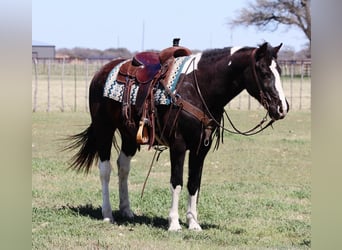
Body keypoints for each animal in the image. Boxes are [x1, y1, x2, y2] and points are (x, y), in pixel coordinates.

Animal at [65, 41, 288, 230]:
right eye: (264, 72)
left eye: (279, 71)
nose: (282, 108)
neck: (198, 88)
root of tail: (101, 72)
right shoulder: (178, 145)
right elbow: (177, 181)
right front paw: (174, 223)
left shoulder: (201, 148)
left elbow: (194, 183)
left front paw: (194, 223)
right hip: (104, 129)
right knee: (105, 169)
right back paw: (108, 214)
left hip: (129, 134)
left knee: (123, 167)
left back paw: (127, 210)